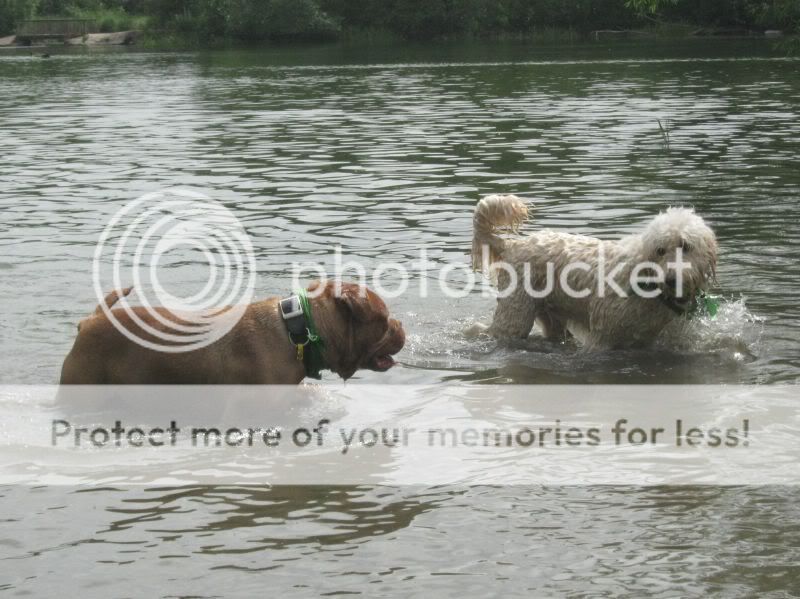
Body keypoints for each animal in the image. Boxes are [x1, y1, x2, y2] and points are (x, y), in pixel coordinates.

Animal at [472, 195, 716, 350]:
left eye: (685, 246)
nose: (672, 279)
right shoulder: (602, 338)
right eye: (660, 250)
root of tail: (512, 244)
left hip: (551, 317)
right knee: (482, 330)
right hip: (515, 317)